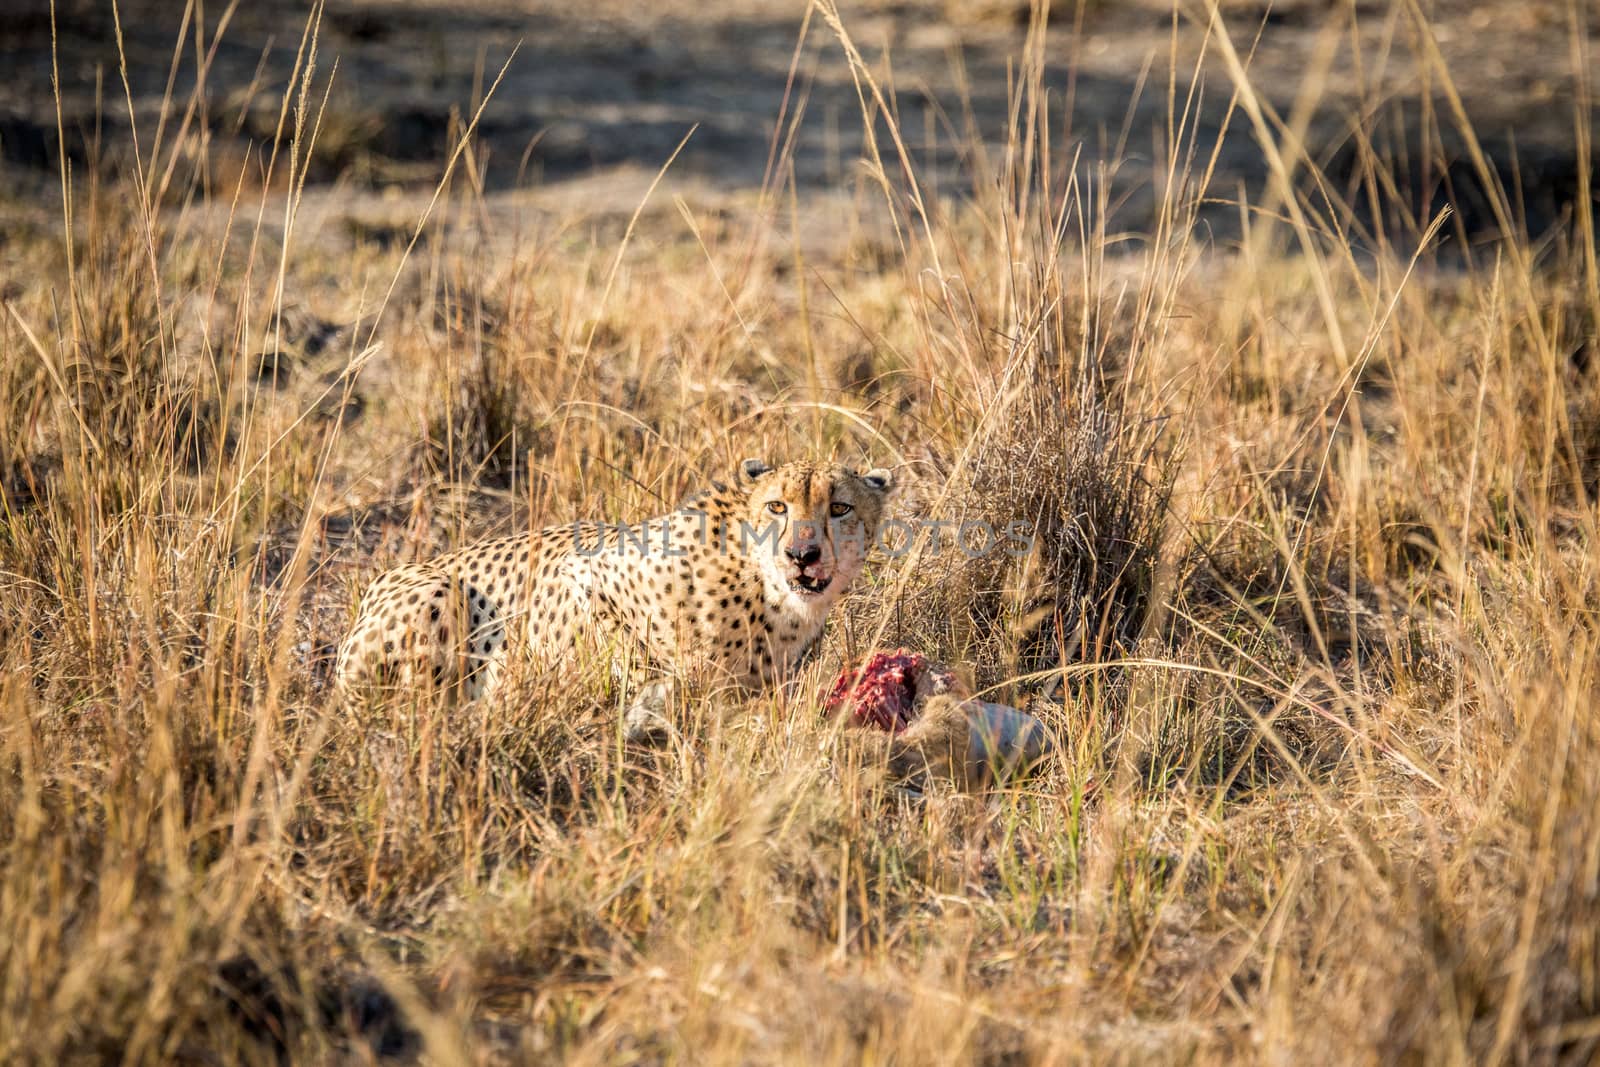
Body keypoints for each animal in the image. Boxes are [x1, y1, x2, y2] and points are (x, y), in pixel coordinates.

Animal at [332, 460, 896, 716]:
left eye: (839, 507)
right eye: (777, 506)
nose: (802, 555)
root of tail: (383, 578)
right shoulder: (582, 574)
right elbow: (623, 645)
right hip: (438, 592)